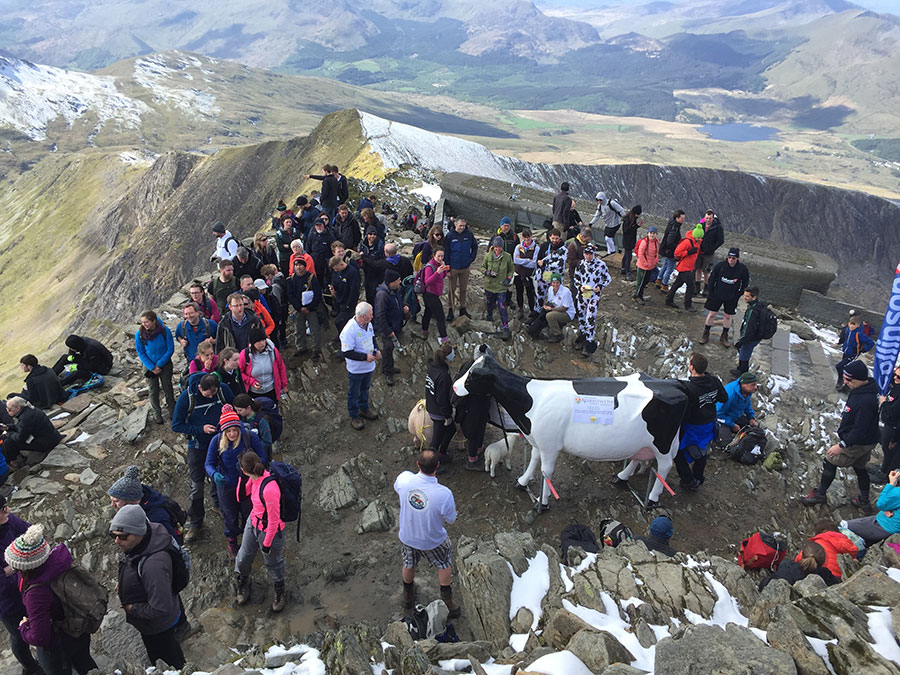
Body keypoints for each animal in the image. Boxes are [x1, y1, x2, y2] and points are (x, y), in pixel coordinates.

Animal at [454, 354, 684, 508]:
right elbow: (534, 460)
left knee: (664, 466)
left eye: (472, 375)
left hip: (662, 443)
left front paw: (543, 501)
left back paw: (652, 498)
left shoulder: (549, 445)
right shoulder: (539, 440)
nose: (455, 386)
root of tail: (675, 385)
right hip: (643, 441)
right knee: (638, 456)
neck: (533, 400)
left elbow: (546, 472)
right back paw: (621, 477)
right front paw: (523, 481)